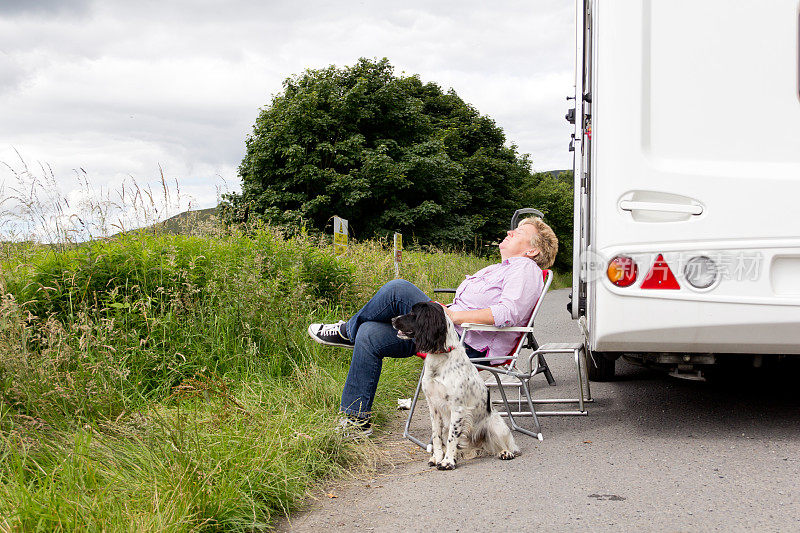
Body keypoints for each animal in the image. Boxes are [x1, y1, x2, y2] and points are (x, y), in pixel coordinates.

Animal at [392, 302, 520, 468]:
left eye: (413, 313)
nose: (392, 319)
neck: (440, 358)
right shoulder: (433, 407)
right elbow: (437, 436)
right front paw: (438, 457)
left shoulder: (457, 408)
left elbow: (452, 438)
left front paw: (447, 461)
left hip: (497, 426)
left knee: (507, 445)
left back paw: (505, 452)